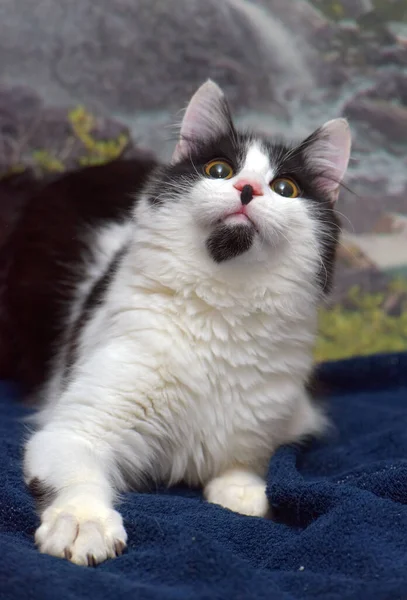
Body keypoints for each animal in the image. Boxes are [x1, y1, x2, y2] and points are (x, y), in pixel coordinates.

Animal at [8, 81, 350, 568]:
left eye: (285, 188)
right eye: (219, 170)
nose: (247, 188)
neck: (223, 305)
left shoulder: (269, 422)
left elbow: (243, 466)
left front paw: (245, 494)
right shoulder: (74, 428)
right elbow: (79, 480)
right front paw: (83, 525)